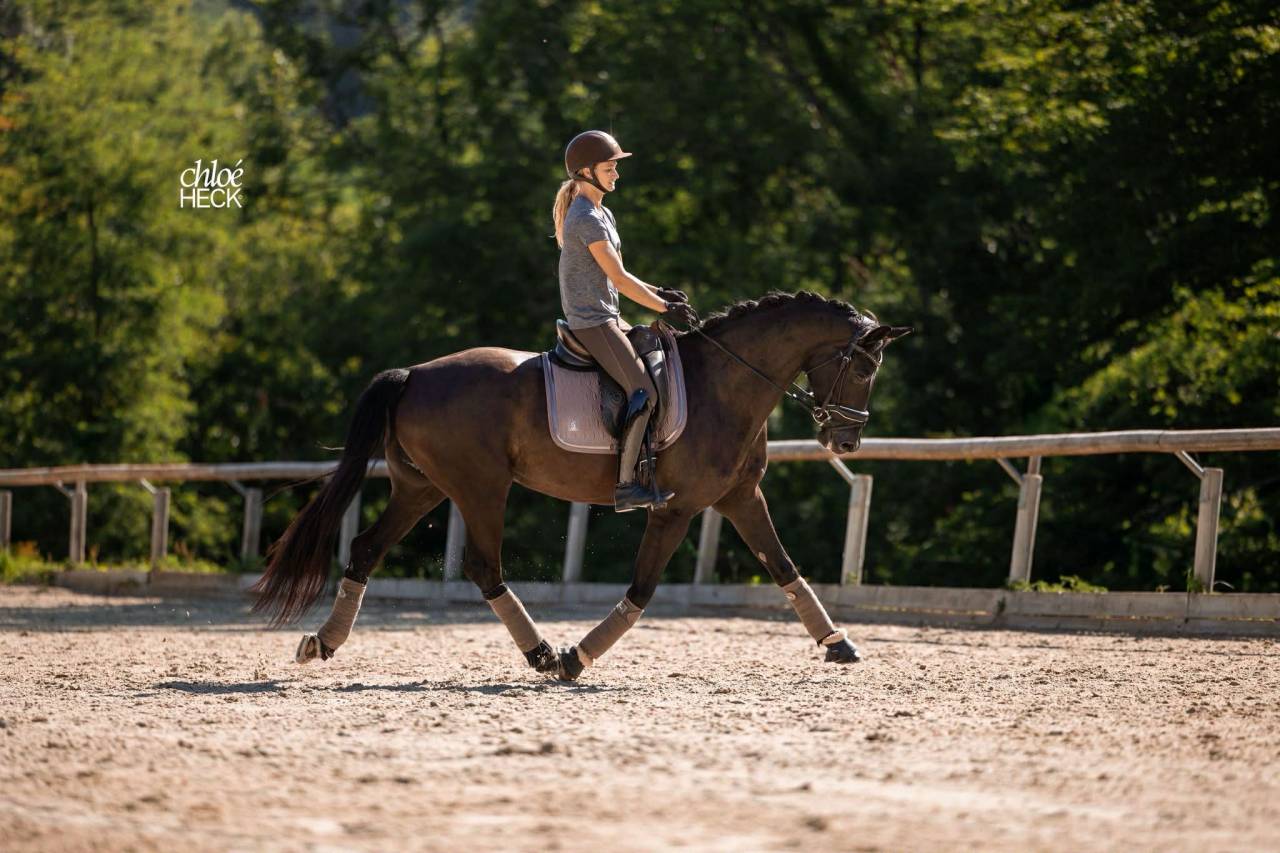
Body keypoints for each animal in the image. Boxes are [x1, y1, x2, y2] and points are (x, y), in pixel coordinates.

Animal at [250, 290, 911, 681]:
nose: (846, 442)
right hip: (481, 487)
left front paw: (838, 642)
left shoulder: (740, 498)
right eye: (863, 367)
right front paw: (577, 656)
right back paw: (543, 653)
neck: (726, 384)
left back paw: (323, 642)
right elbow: (642, 590)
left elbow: (784, 567)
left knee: (366, 549)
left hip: (423, 488)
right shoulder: (676, 510)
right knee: (483, 567)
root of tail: (413, 373)